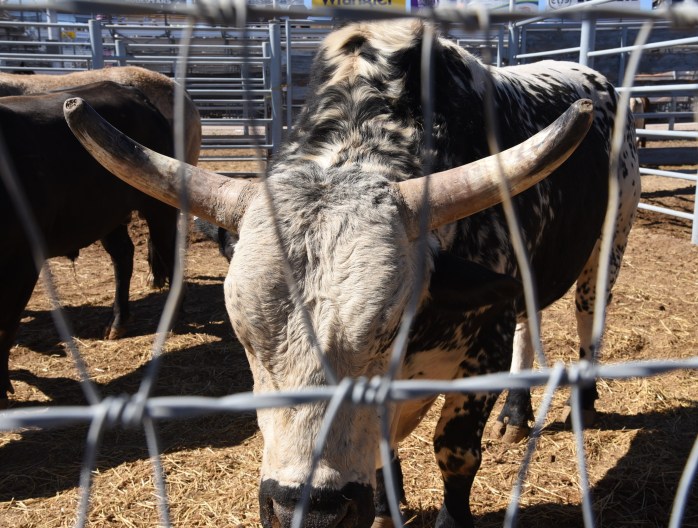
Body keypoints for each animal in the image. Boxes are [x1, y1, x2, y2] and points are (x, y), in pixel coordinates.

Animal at [0, 81, 186, 407]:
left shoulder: (22, 263)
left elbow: (4, 329)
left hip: (158, 206)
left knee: (167, 253)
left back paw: (174, 317)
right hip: (106, 215)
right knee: (123, 256)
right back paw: (117, 323)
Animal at [64, 19, 640, 528]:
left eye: (391, 326)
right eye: (243, 334)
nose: (310, 511)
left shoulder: (482, 352)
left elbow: (453, 453)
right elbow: (382, 451)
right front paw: (387, 505)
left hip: (611, 243)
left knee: (589, 322)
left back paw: (583, 402)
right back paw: (516, 416)